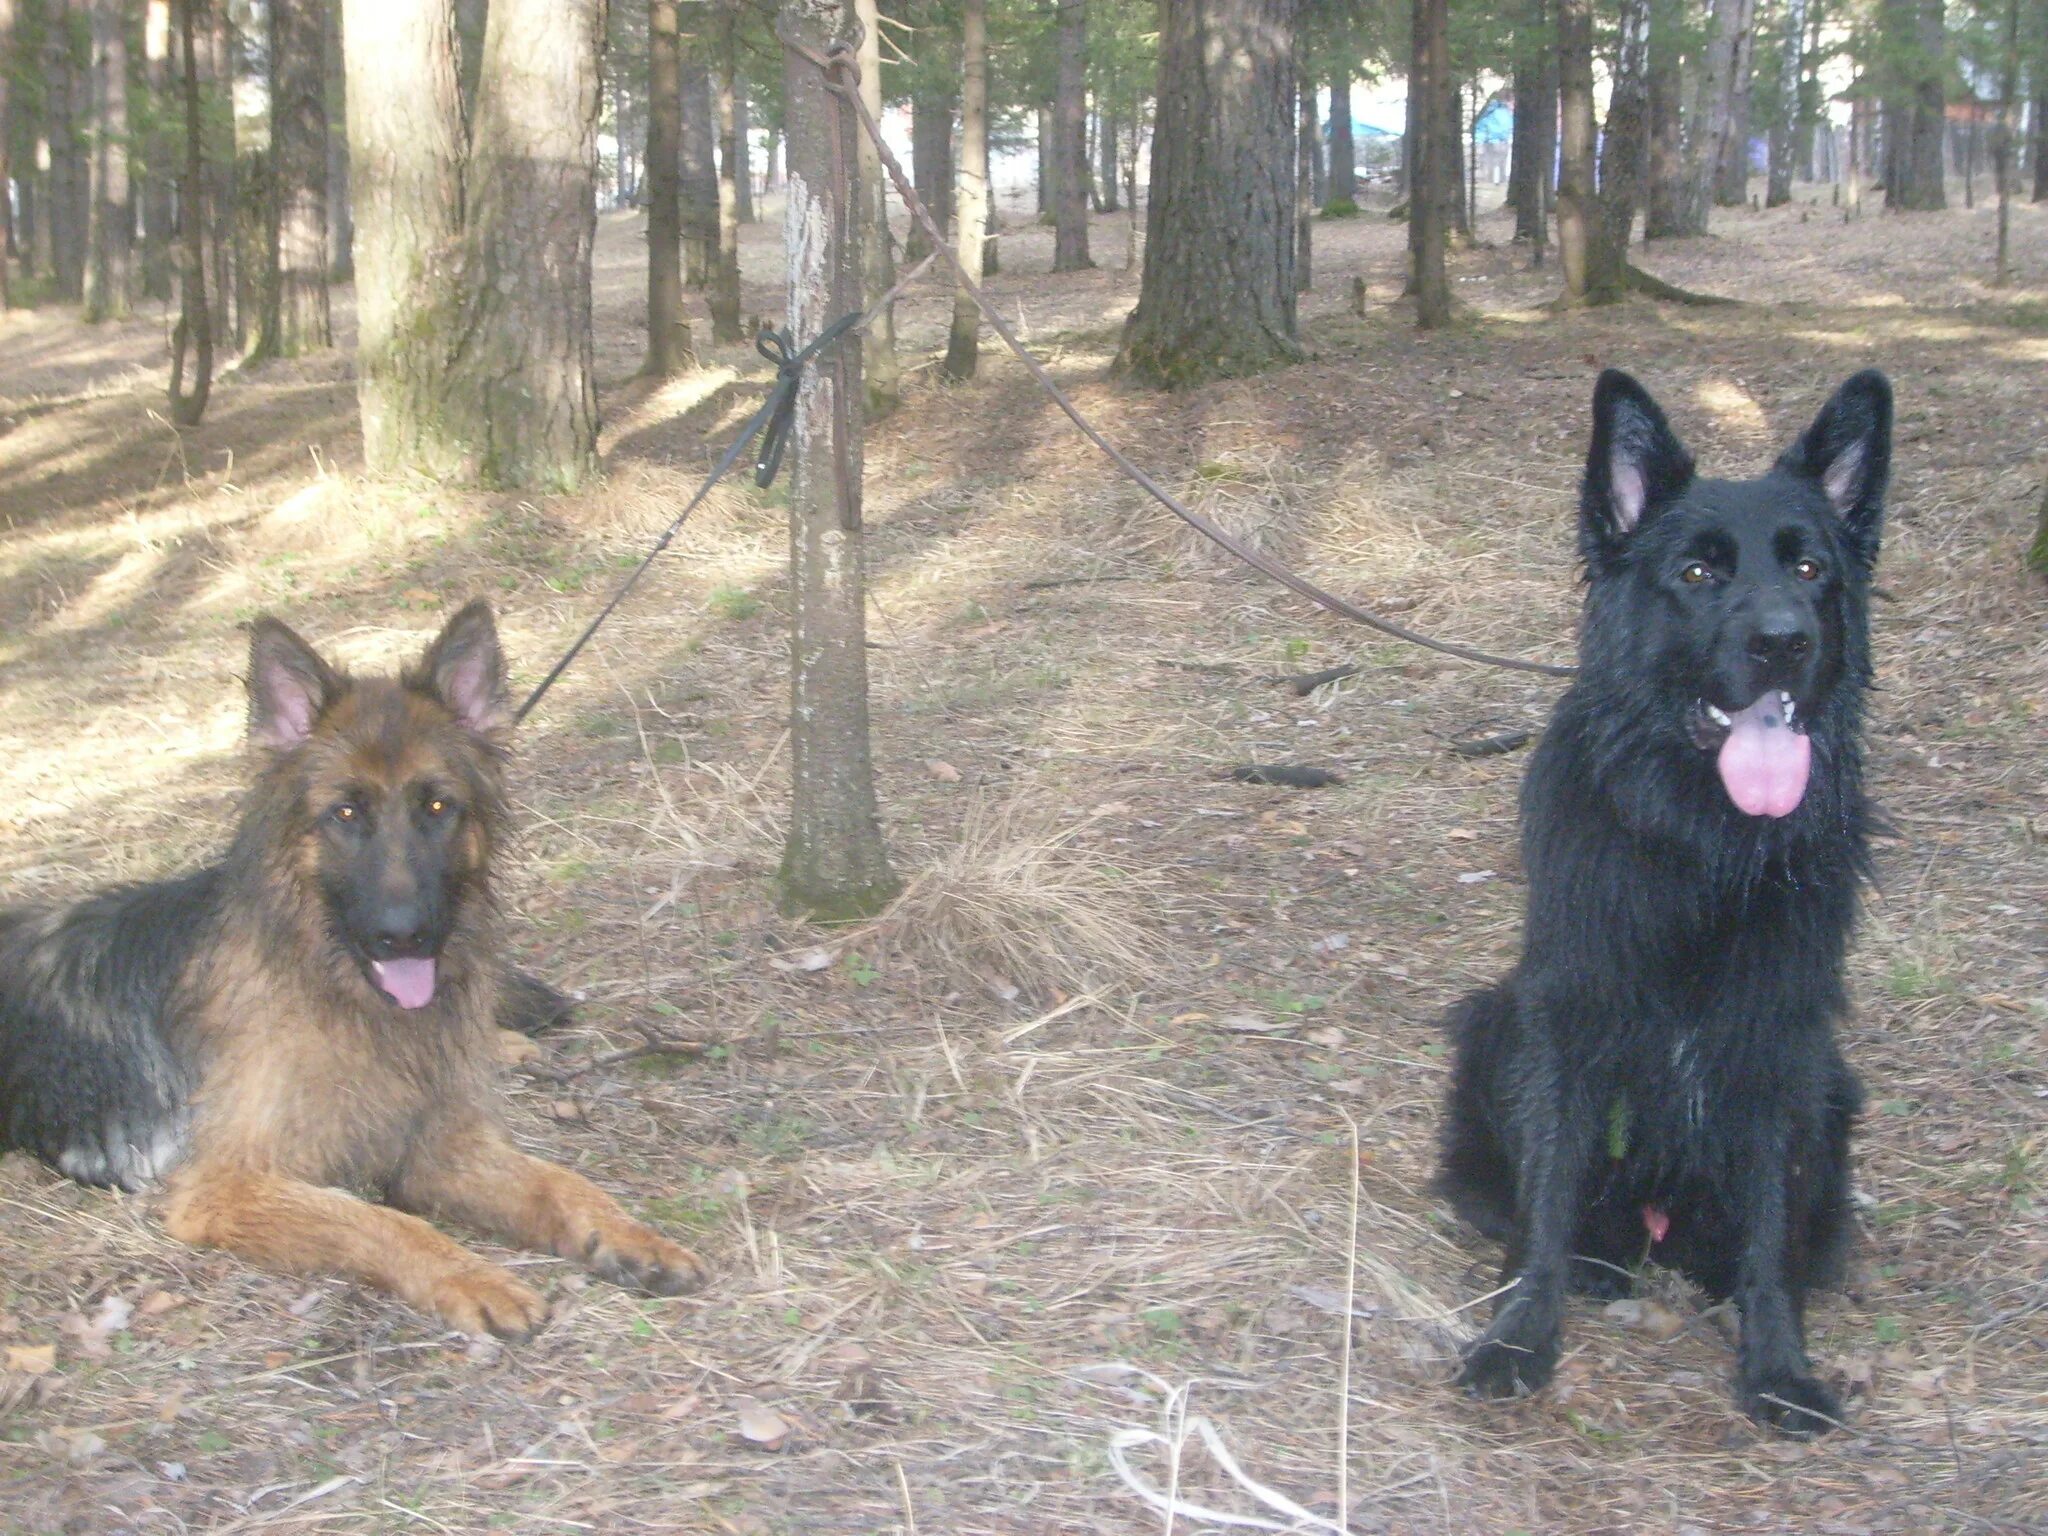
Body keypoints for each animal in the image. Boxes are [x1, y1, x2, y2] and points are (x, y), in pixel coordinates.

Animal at [1441, 372, 1884, 1441]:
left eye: (1809, 566)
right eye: (1695, 573)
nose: (1784, 643)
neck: (1704, 849)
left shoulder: (1782, 1043)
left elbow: (1772, 1231)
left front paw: (1779, 1367)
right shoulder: (1565, 1016)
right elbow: (1550, 1191)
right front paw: (1521, 1335)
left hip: (1835, 1088)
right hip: (1491, 1019)